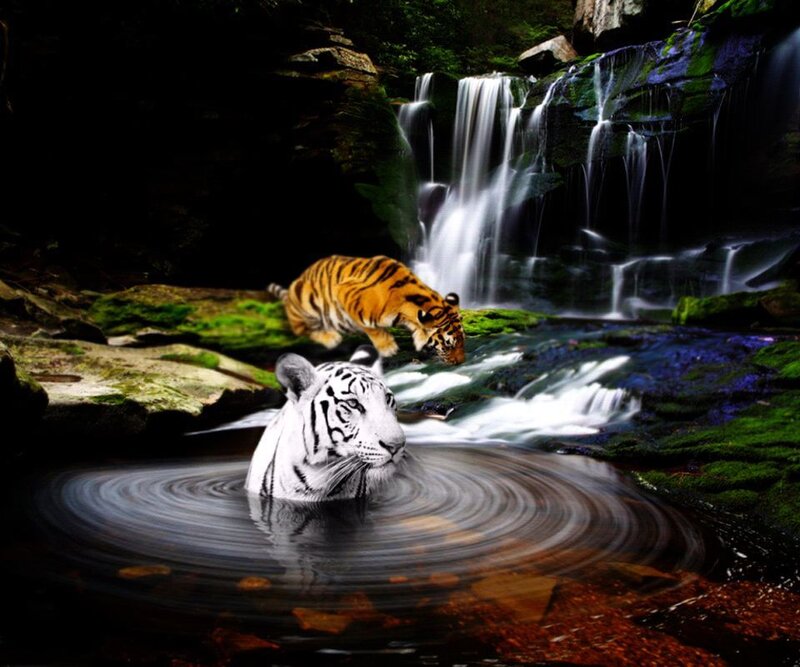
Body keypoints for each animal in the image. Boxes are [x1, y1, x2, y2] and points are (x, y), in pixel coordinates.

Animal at [267, 255, 465, 365]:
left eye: (463, 341)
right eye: (448, 345)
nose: (460, 362)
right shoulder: (344, 292)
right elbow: (371, 328)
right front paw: (388, 347)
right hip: (305, 301)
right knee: (301, 329)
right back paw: (330, 337)